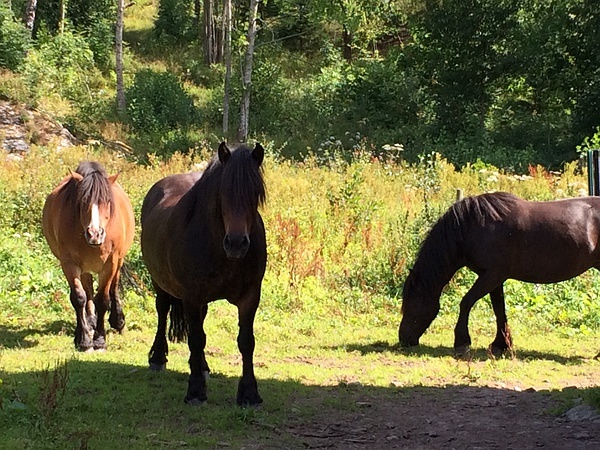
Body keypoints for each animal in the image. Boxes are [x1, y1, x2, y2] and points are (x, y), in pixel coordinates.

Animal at [42, 161, 135, 352]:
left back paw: (118, 321)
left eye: (107, 201)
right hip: (85, 267)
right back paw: (90, 321)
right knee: (88, 290)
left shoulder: (110, 264)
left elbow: (103, 299)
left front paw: (99, 340)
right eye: (83, 201)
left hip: (118, 261)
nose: (95, 234)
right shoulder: (69, 264)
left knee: (114, 287)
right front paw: (83, 339)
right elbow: (79, 298)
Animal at [141, 142, 268, 406]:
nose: (237, 243)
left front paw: (250, 393)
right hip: (161, 283)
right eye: (223, 193)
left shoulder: (250, 296)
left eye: (255, 194)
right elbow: (196, 339)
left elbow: (246, 341)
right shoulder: (191, 296)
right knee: (162, 311)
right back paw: (158, 358)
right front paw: (196, 391)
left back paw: (202, 366)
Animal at [398, 192, 600, 356]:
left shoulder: (492, 275)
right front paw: (501, 345)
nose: (403, 339)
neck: (473, 226)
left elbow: (466, 302)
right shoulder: (494, 278)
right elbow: (499, 309)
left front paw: (462, 343)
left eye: (410, 303)